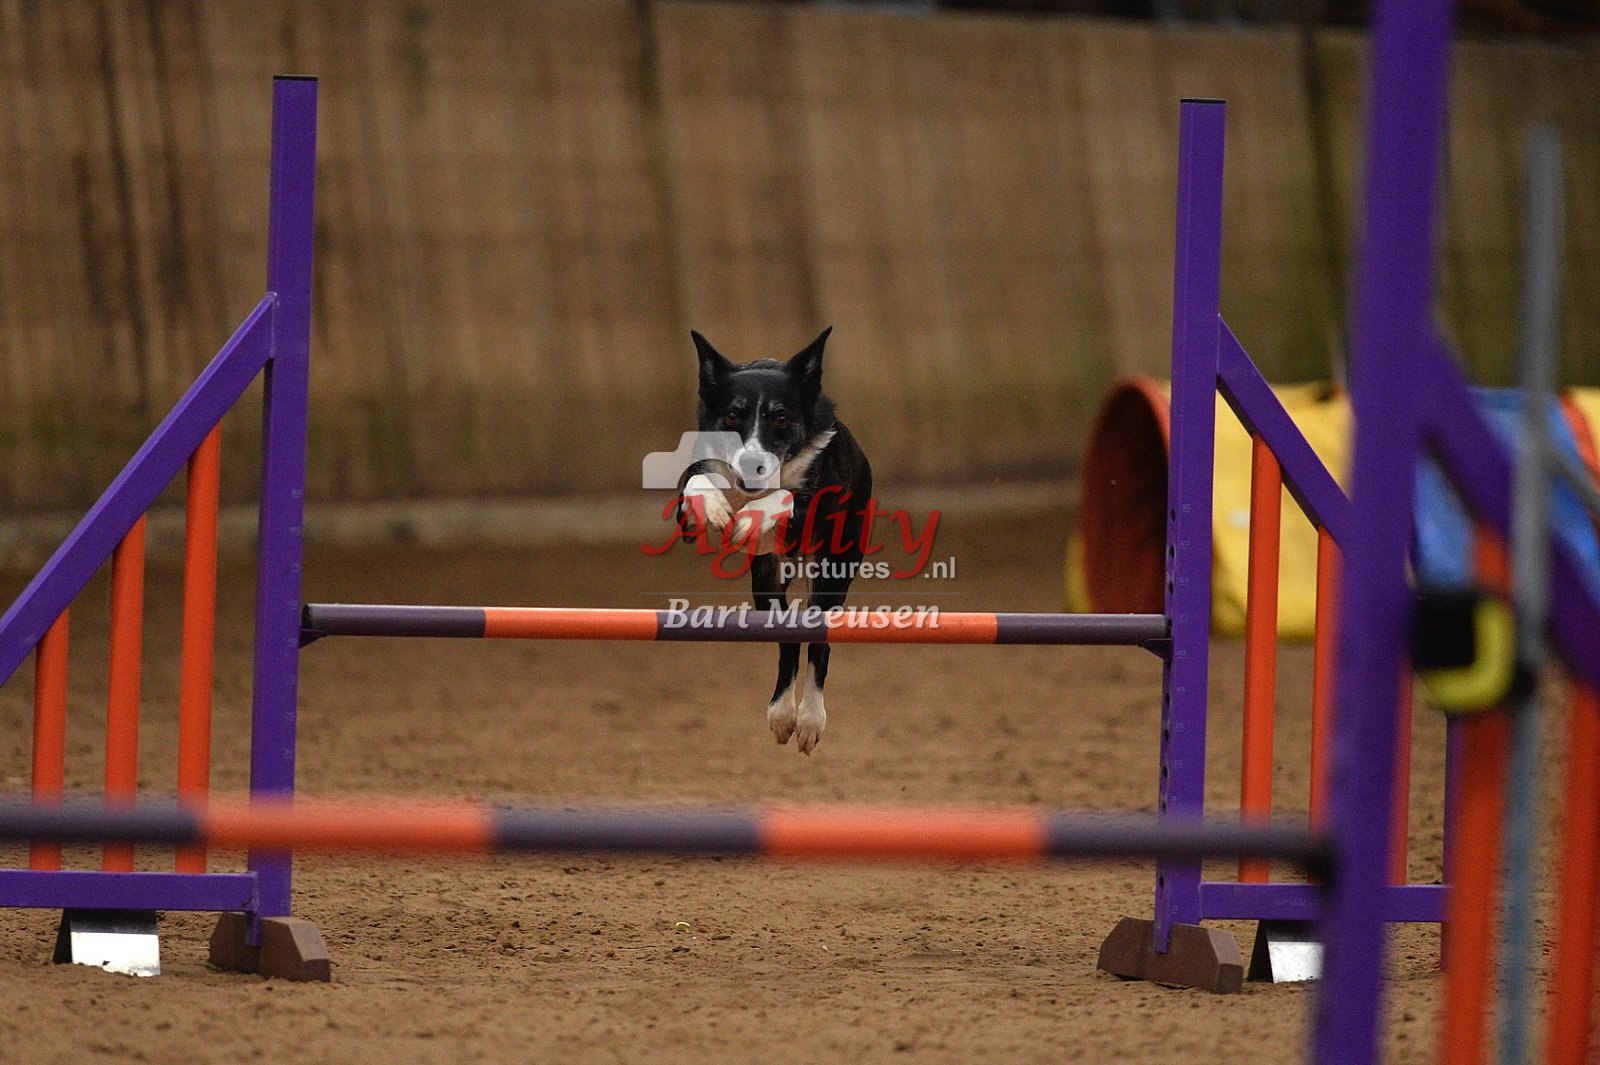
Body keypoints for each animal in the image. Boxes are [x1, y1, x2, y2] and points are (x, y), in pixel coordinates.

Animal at [677, 327, 872, 755]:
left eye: (780, 418)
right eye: (731, 415)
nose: (753, 464)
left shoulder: (819, 501)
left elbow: (786, 496)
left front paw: (749, 519)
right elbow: (698, 482)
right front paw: (717, 509)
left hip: (835, 568)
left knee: (818, 642)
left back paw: (810, 719)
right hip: (765, 581)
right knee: (787, 639)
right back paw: (782, 714)